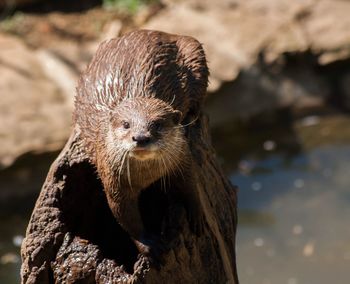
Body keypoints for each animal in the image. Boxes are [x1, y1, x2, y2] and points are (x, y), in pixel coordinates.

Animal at [74, 30, 208, 266]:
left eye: (157, 124)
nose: (141, 137)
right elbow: (125, 216)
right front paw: (149, 244)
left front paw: (196, 214)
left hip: (194, 51)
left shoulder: (181, 157)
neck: (146, 176)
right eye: (126, 124)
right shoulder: (113, 182)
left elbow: (190, 183)